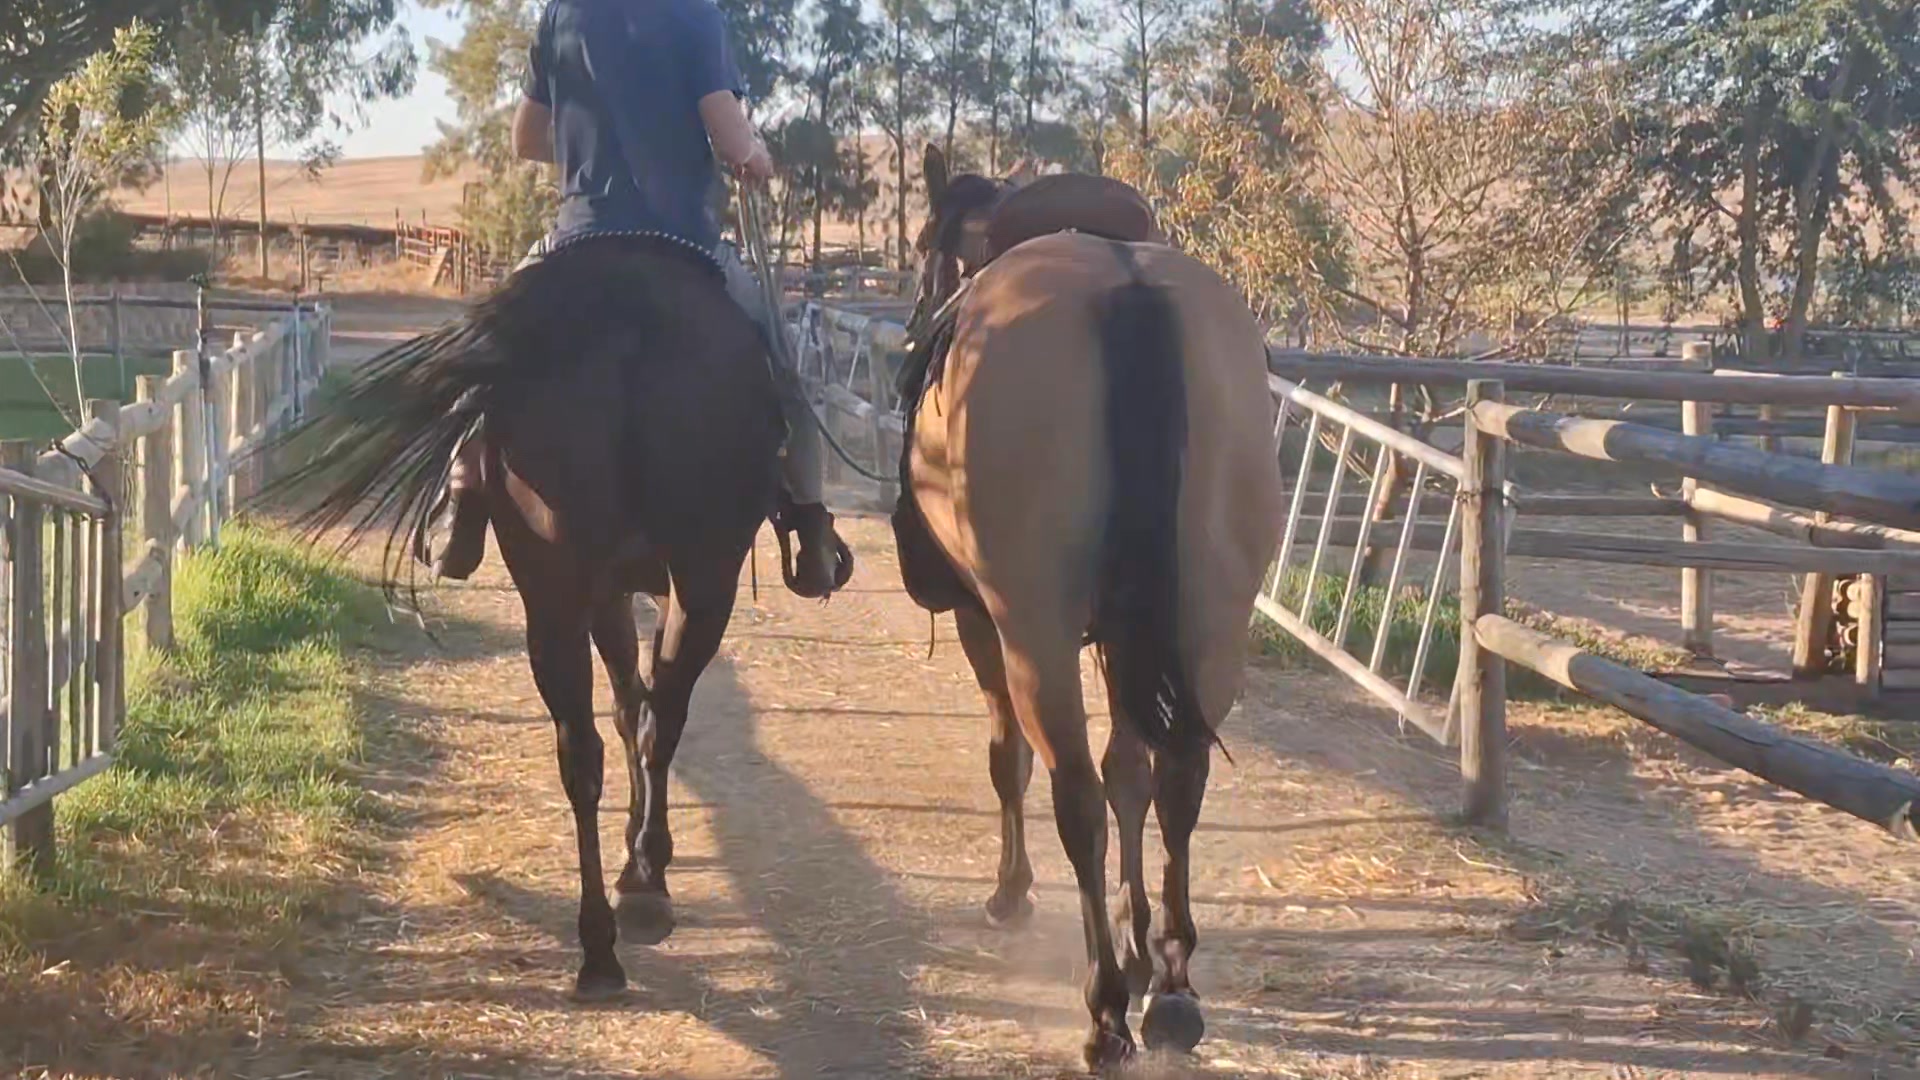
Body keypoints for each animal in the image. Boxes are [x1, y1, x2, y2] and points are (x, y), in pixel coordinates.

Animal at [272, 234, 786, 1000]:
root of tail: (627, 310)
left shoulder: (615, 590)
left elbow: (628, 709)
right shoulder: (630, 592)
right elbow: (636, 710)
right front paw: (644, 855)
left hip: (571, 591)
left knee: (590, 746)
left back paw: (603, 942)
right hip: (684, 584)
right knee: (647, 725)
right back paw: (635, 898)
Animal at [892, 146, 1284, 1069]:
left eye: (924, 243)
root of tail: (1125, 290)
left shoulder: (987, 623)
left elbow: (1012, 762)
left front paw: (1013, 894)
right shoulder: (1127, 636)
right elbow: (1130, 777)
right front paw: (1142, 948)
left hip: (1033, 633)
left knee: (1073, 793)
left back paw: (1105, 1008)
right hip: (1211, 628)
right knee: (1177, 779)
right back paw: (1170, 984)